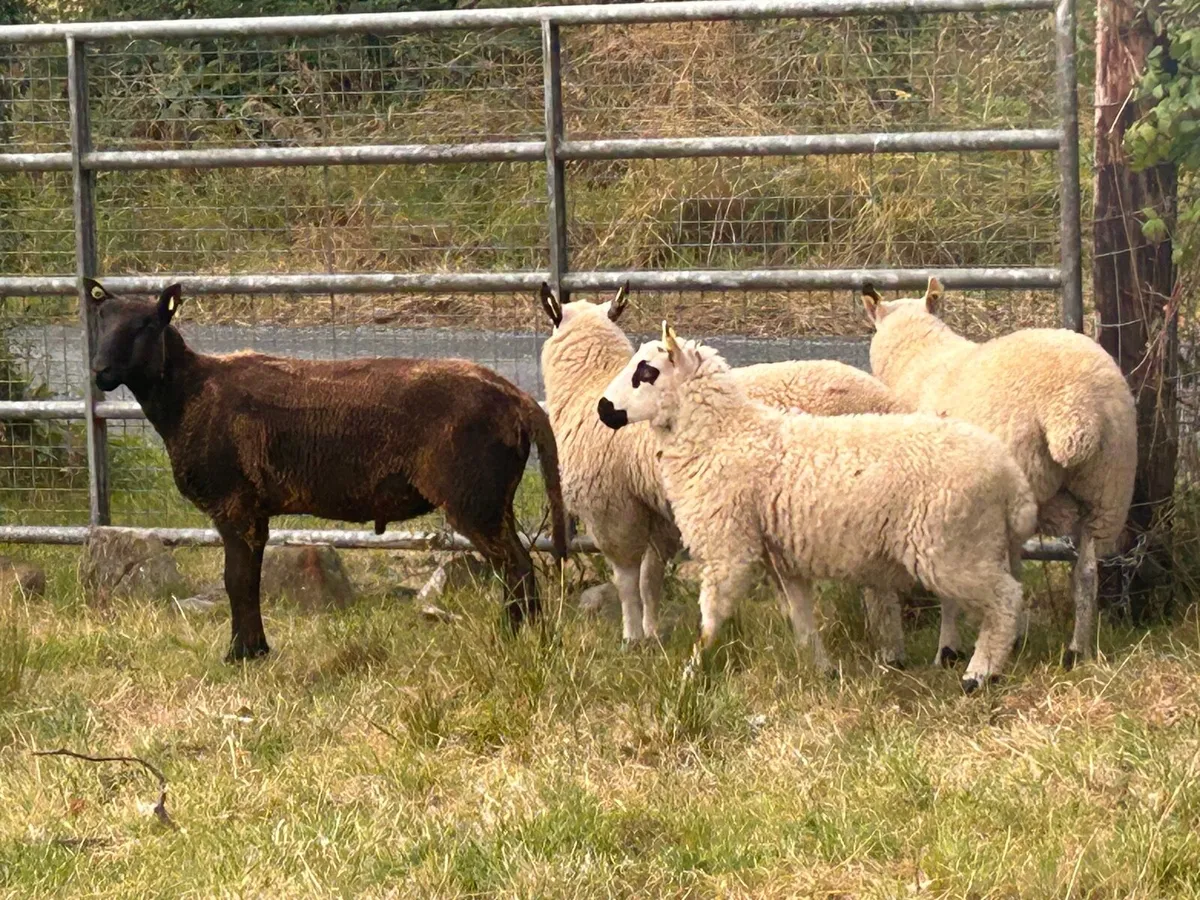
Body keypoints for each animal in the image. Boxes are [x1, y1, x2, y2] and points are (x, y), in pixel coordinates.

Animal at [86, 279, 567, 661]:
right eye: (101, 320)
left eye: (148, 325)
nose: (99, 371)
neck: (188, 395)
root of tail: (518, 400)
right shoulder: (254, 511)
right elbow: (248, 580)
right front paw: (257, 649)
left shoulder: (234, 503)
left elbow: (235, 580)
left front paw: (240, 655)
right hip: (495, 496)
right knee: (519, 563)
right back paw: (530, 637)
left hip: (474, 495)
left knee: (516, 566)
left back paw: (517, 640)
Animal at [537, 284, 908, 663]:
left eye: (644, 373)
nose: (605, 411)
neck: (584, 385)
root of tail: (890, 403)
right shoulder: (661, 517)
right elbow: (650, 579)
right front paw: (652, 634)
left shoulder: (612, 510)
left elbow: (627, 581)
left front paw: (632, 637)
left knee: (877, 588)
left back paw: (888, 647)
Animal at [597, 324, 1038, 692]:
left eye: (647, 372)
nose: (603, 409)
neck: (724, 435)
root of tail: (1011, 479)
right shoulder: (780, 558)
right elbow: (801, 617)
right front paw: (821, 669)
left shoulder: (729, 547)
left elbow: (712, 616)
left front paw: (689, 672)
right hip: (974, 544)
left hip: (952, 547)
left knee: (1005, 599)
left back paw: (979, 674)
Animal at [862, 277, 1137, 668]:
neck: (921, 363)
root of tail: (1074, 412)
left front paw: (947, 649)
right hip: (1107, 491)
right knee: (1085, 574)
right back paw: (1076, 651)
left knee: (1010, 574)